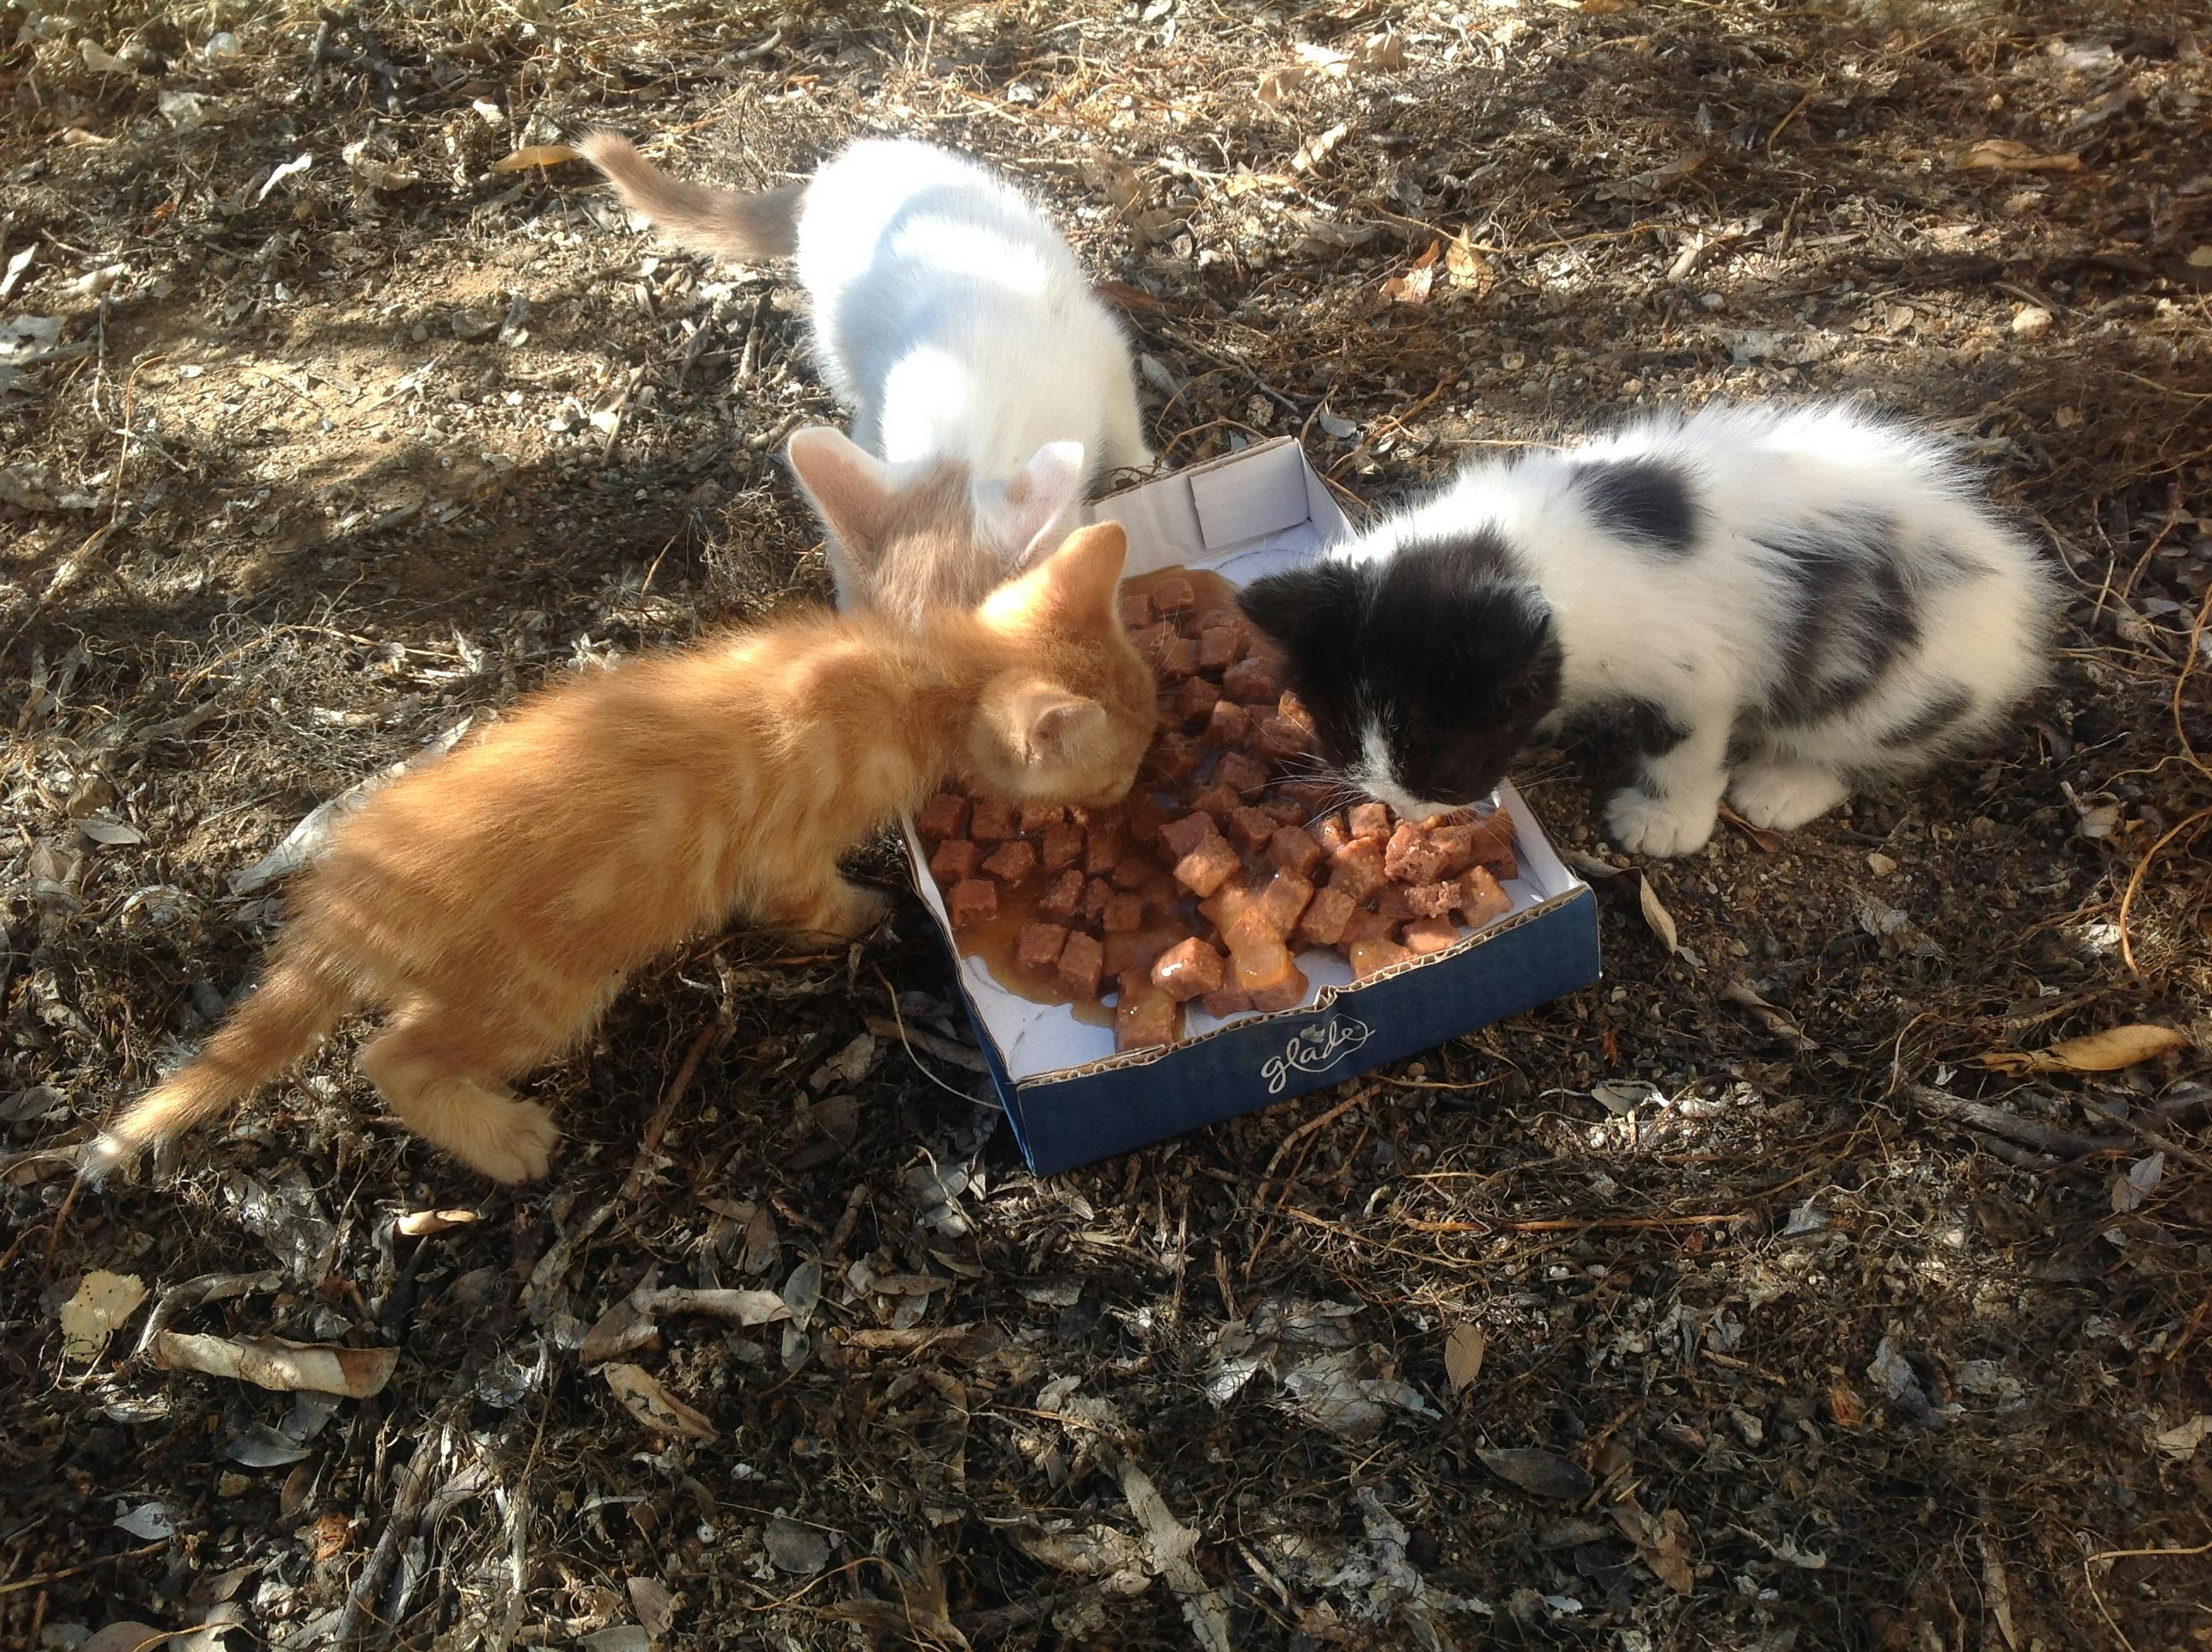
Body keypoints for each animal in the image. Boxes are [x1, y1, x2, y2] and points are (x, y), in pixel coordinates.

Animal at [95, 524, 1150, 1185]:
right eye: (1123, 772)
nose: (1140, 790)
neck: (923, 671)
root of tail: (347, 904)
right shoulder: (788, 847)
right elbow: (812, 900)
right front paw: (869, 913)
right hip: (540, 994)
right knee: (392, 1056)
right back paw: (504, 1139)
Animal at [579, 131, 1150, 619]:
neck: (974, 430)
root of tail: (824, 178)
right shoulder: (877, 421)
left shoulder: (1101, 346)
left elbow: (1123, 420)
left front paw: (1138, 469)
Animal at [1238, 404, 2061, 858]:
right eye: (1344, 746)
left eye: (1443, 762)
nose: (1406, 813)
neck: (1526, 546)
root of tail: (2018, 591)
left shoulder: (1698, 669)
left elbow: (1684, 744)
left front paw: (1664, 823)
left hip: (1897, 675)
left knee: (1864, 735)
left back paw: (1786, 785)